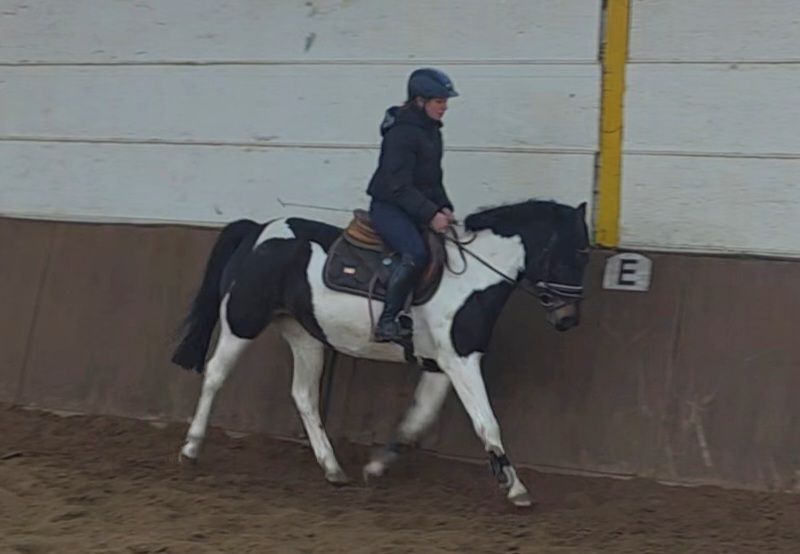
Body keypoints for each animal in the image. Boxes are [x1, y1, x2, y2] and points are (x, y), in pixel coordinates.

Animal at [171, 199, 591, 508]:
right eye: (574, 254)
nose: (568, 319)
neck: (471, 280)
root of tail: (258, 230)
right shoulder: (461, 360)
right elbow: (487, 423)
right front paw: (516, 487)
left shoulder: (440, 365)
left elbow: (418, 419)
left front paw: (375, 466)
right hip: (242, 321)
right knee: (215, 374)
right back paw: (191, 448)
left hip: (306, 337)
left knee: (303, 395)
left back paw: (332, 468)